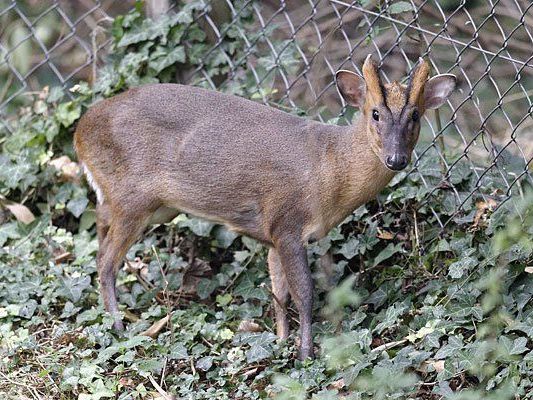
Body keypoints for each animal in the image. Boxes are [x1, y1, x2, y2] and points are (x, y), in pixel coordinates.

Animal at [75, 56, 456, 360]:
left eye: (416, 115)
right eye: (375, 113)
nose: (396, 158)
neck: (328, 168)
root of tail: (80, 131)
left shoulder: (273, 236)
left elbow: (279, 293)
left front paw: (281, 341)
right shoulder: (288, 222)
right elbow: (304, 293)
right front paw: (305, 353)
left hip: (141, 203)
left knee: (99, 229)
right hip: (132, 197)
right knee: (105, 262)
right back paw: (120, 328)